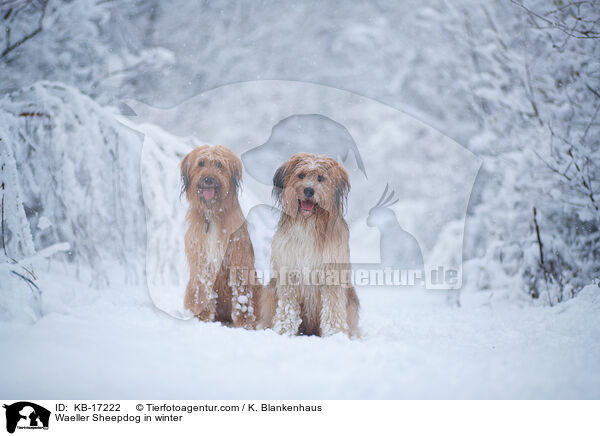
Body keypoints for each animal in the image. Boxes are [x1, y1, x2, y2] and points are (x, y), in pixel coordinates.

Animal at [183, 145, 258, 328]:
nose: (209, 179)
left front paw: (244, 324)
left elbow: (242, 297)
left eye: (219, 164)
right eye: (201, 163)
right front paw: (203, 317)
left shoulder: (238, 258)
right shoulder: (202, 262)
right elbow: (202, 289)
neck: (212, 213)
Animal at [258, 152, 360, 338]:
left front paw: (334, 334)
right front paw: (284, 331)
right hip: (270, 292)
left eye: (320, 178)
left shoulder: (332, 273)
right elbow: (288, 307)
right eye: (301, 175)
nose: (309, 190)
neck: (309, 223)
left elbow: (333, 308)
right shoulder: (289, 270)